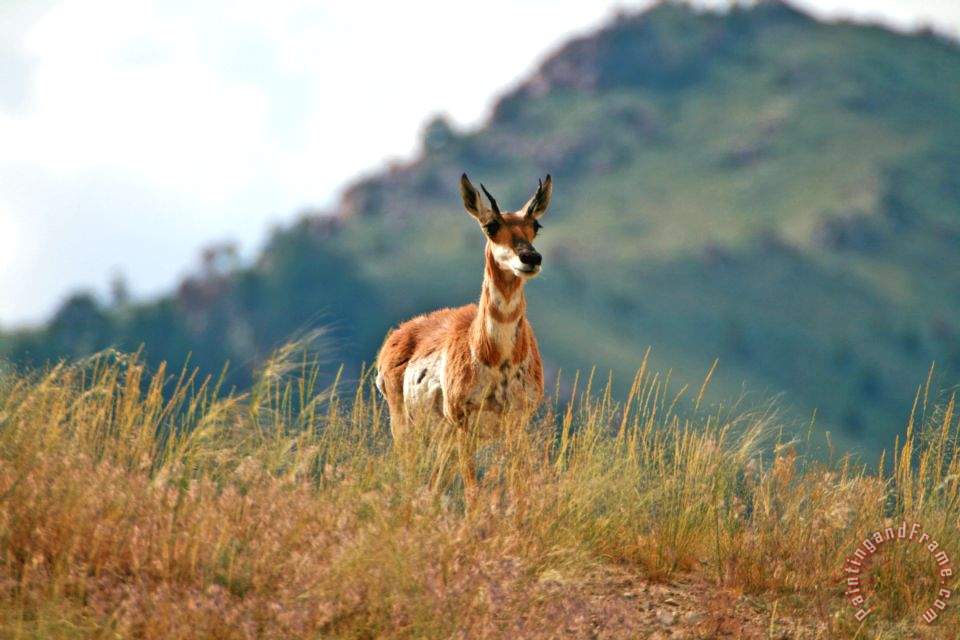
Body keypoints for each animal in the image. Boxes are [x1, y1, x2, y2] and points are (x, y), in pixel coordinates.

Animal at [375, 173, 552, 496]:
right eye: (491, 225)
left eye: (536, 225)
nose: (530, 257)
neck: (497, 357)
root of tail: (397, 335)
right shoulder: (462, 424)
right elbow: (473, 492)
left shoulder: (516, 423)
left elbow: (518, 488)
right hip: (406, 429)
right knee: (410, 479)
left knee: (431, 487)